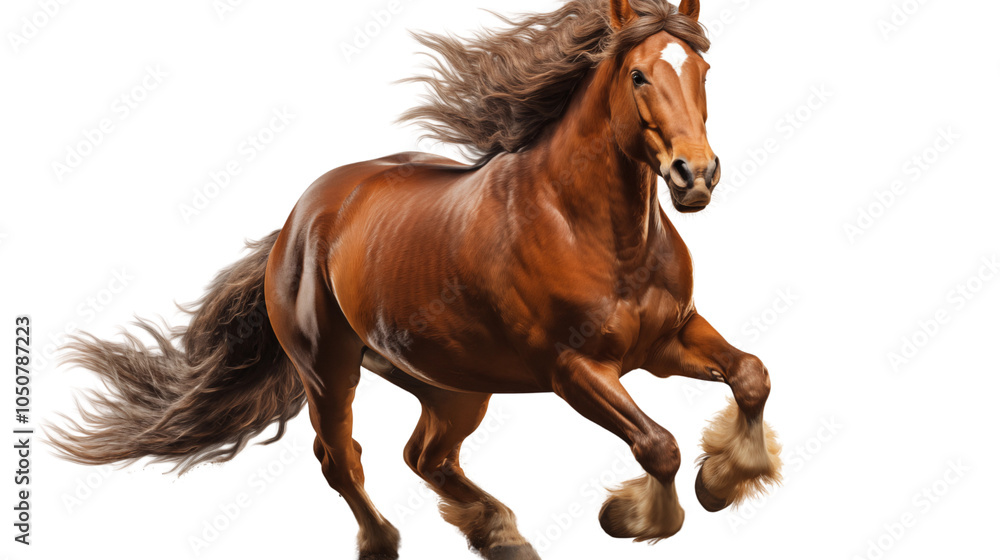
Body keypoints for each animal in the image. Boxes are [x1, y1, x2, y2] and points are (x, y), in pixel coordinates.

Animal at [50, 1, 782, 558]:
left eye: (703, 70)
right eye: (637, 75)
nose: (696, 175)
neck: (593, 229)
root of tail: (298, 220)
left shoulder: (664, 341)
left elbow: (751, 375)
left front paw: (724, 480)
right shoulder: (574, 368)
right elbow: (657, 444)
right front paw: (634, 518)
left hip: (453, 384)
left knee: (425, 456)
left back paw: (501, 534)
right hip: (330, 370)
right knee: (341, 457)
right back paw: (384, 541)